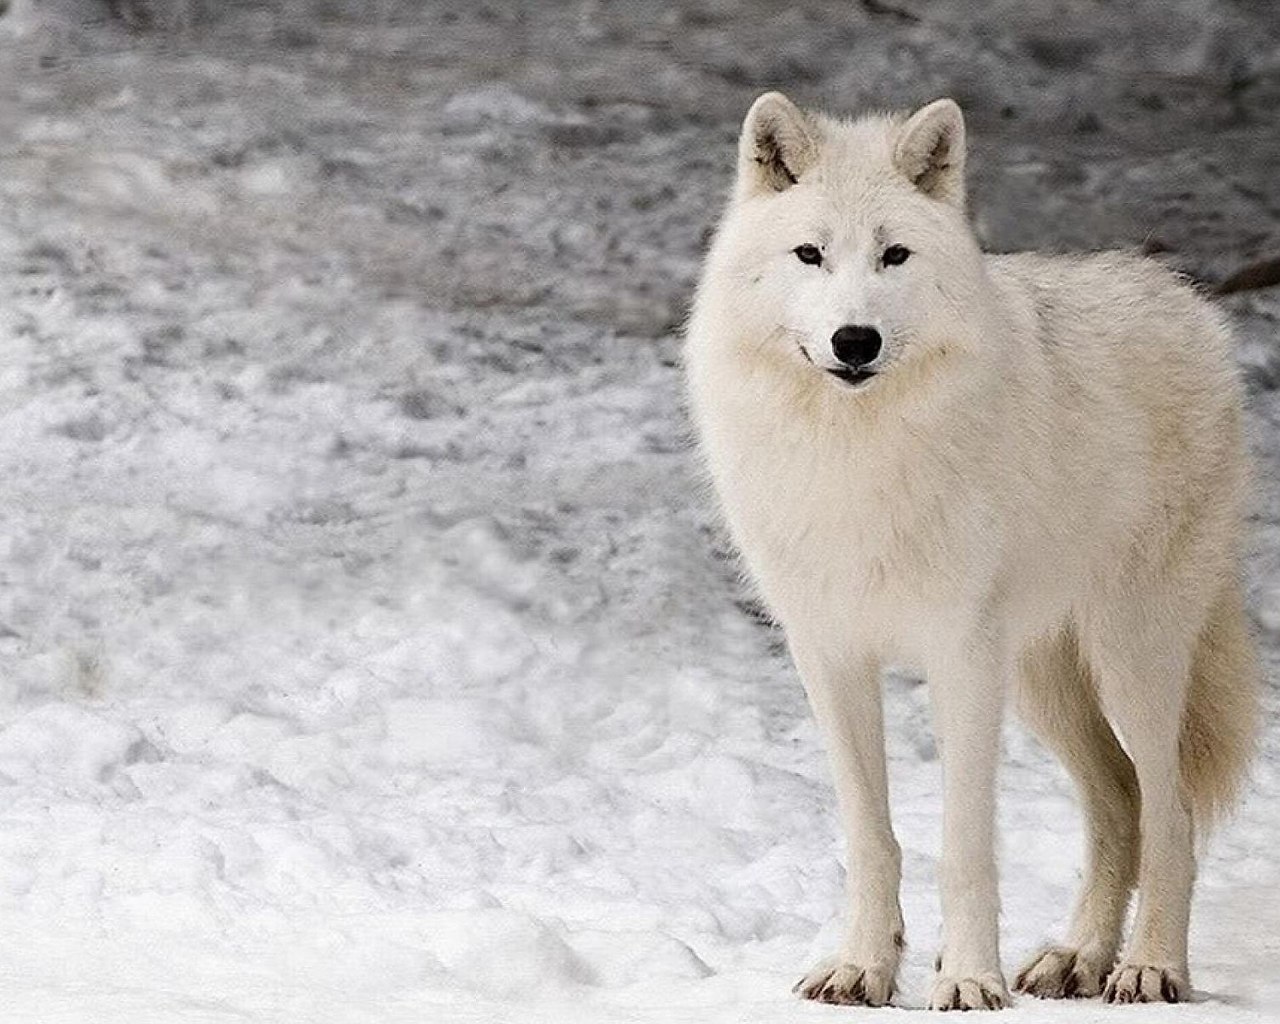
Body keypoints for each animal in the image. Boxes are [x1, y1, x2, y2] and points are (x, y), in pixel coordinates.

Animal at [686, 94, 1254, 1008]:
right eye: (810, 253)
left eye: (894, 255)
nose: (854, 340)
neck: (857, 454)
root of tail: (1184, 299)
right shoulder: (830, 656)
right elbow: (872, 837)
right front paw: (863, 968)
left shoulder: (962, 658)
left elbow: (964, 849)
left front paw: (968, 982)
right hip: (1044, 681)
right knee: (1120, 805)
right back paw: (1076, 958)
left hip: (1126, 659)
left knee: (1170, 816)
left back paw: (1149, 967)